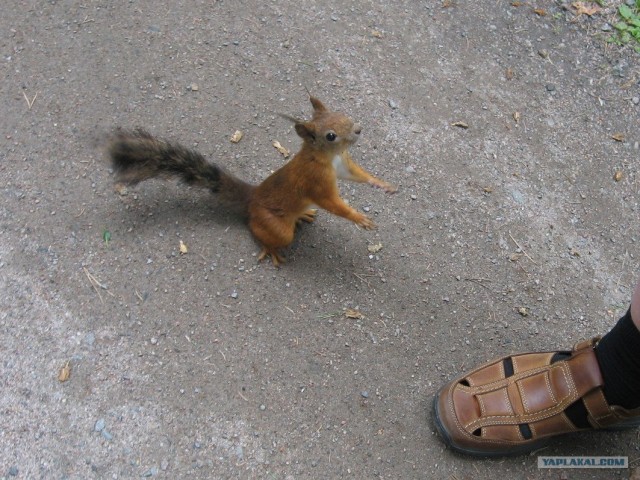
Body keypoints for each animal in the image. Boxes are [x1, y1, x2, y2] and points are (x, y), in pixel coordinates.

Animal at [108, 95, 398, 264]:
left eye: (342, 113)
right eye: (330, 135)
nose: (359, 129)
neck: (328, 157)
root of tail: (252, 198)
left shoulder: (344, 165)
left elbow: (358, 175)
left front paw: (383, 184)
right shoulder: (316, 182)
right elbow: (333, 204)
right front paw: (359, 218)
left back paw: (302, 215)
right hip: (276, 227)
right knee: (262, 232)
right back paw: (272, 250)